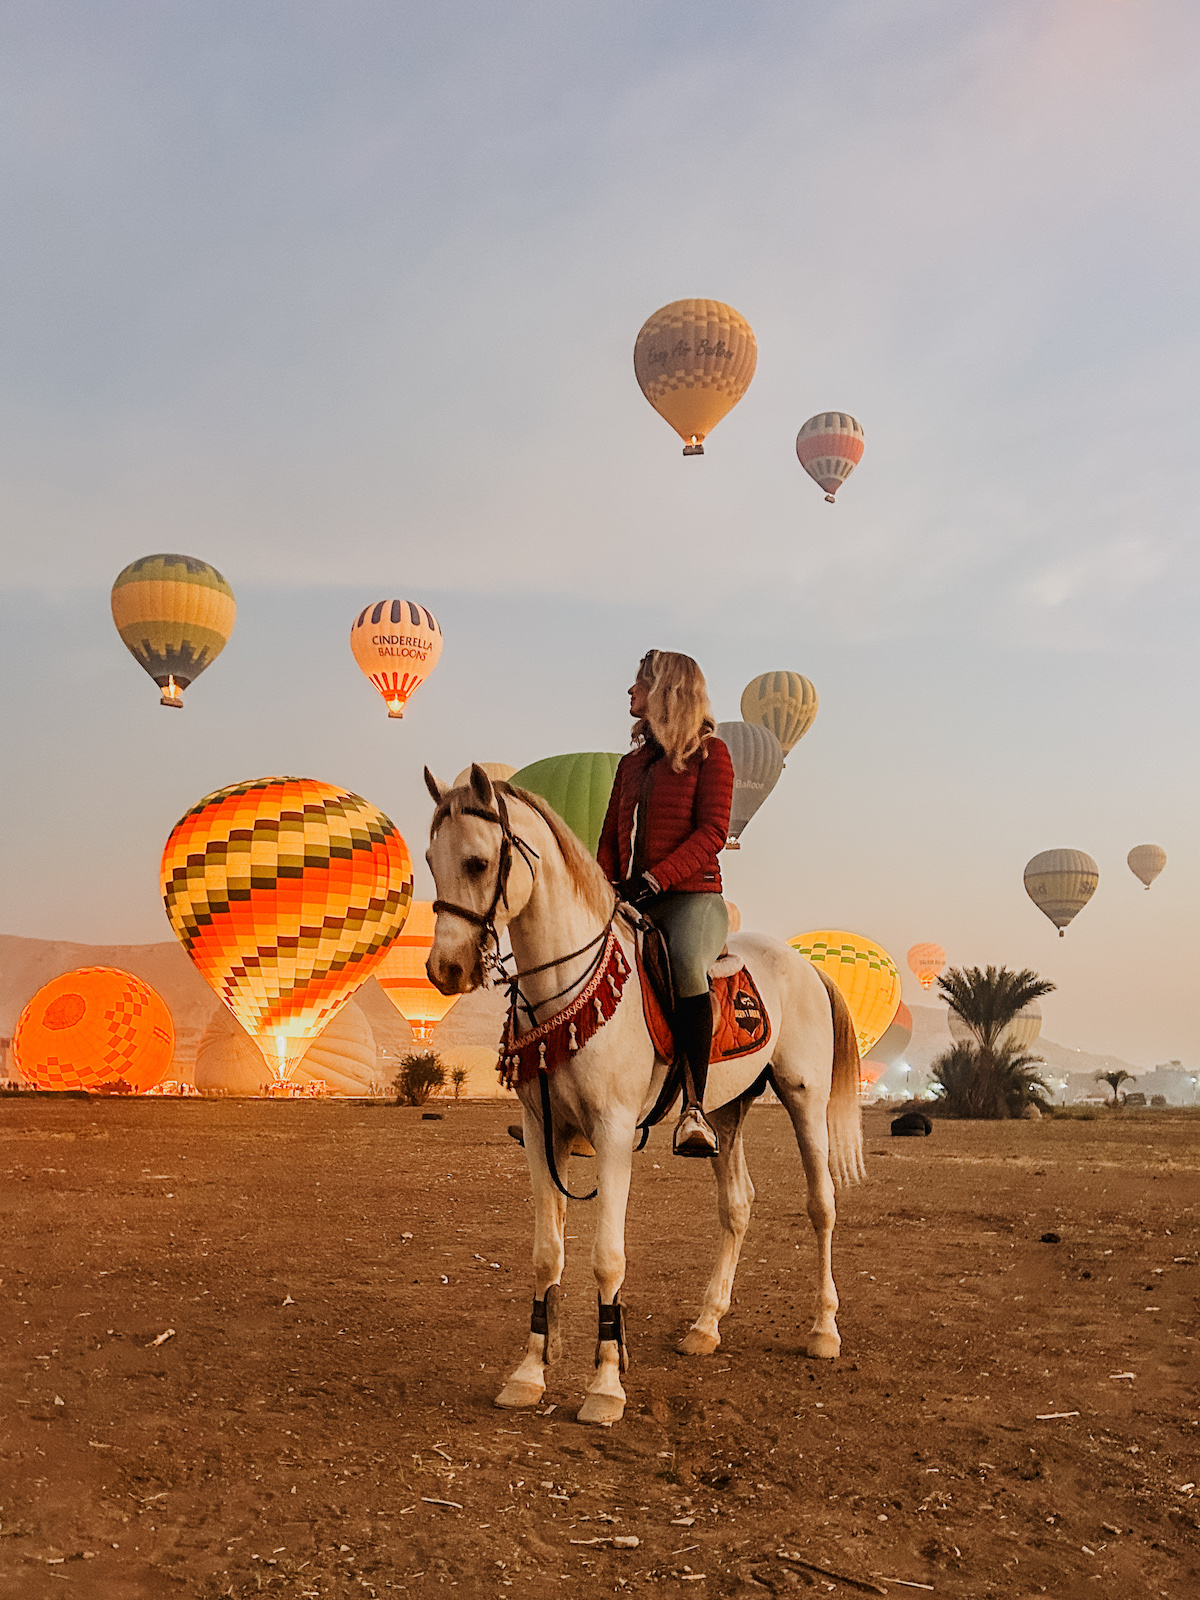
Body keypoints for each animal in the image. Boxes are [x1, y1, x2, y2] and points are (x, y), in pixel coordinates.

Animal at [422, 761, 864, 1427]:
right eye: (429, 859)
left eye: (476, 862)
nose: (444, 969)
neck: (564, 992)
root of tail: (807, 965)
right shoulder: (542, 1133)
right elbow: (546, 1253)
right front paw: (528, 1375)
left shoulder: (611, 1132)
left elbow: (608, 1255)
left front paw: (605, 1387)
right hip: (725, 1110)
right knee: (737, 1204)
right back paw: (705, 1326)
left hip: (803, 1099)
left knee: (822, 1205)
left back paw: (824, 1331)